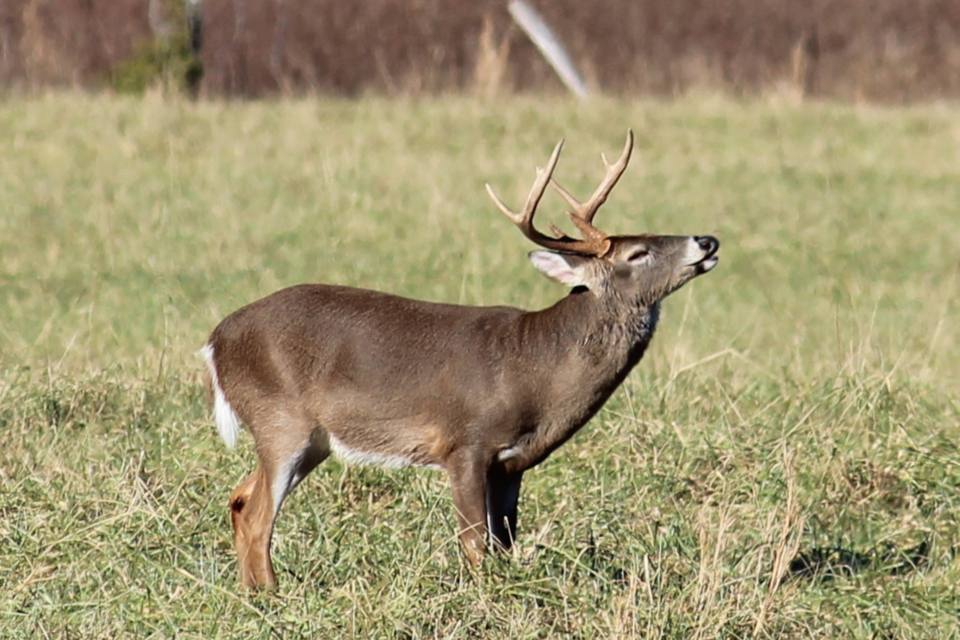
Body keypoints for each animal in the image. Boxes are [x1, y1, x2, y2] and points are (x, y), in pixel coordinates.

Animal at [199, 131, 716, 592]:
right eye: (638, 252)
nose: (708, 240)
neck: (535, 368)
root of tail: (215, 341)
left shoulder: (511, 464)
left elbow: (504, 543)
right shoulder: (465, 442)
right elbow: (475, 543)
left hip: (312, 439)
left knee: (240, 498)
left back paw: (251, 592)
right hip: (281, 418)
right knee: (259, 515)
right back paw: (273, 595)